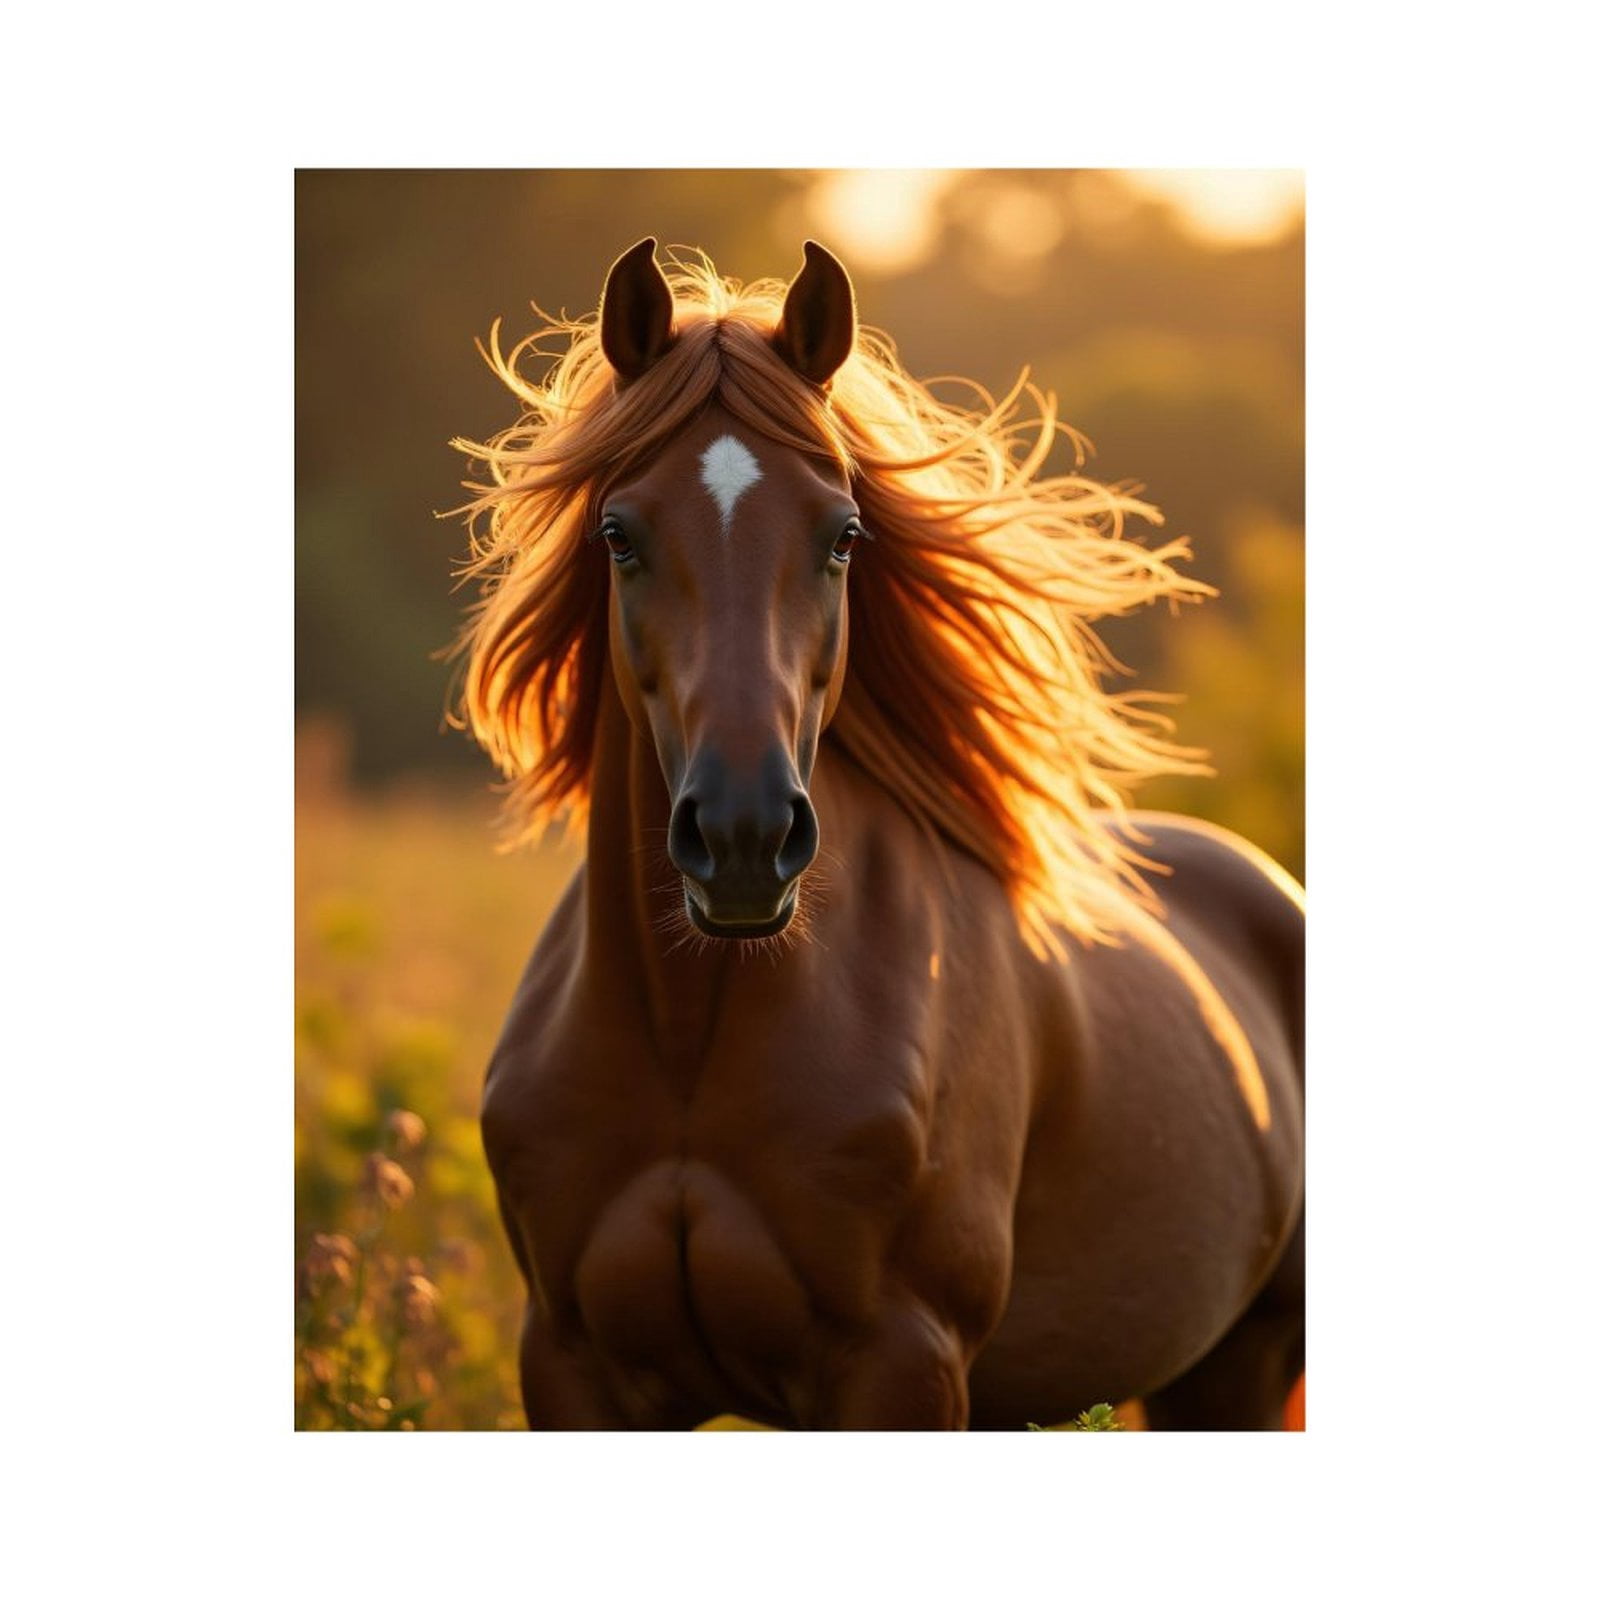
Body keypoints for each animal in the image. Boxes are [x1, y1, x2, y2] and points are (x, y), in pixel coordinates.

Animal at [453, 238, 1304, 1430]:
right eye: (618, 535)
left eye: (843, 536)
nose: (745, 834)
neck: (687, 1043)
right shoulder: (574, 1365)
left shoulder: (900, 1362)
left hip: (1249, 1363)